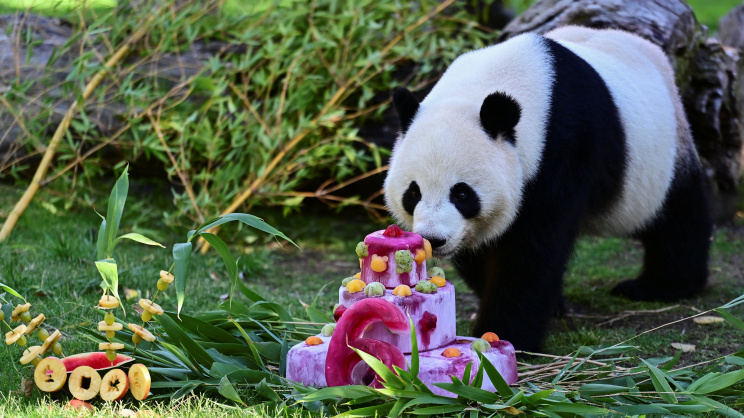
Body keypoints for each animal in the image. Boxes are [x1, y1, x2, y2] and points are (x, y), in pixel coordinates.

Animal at [384, 26, 713, 352]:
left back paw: (662, 285)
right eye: (413, 193)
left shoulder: (563, 150)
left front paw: (508, 333)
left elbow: (534, 250)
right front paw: (548, 305)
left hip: (662, 154)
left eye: (462, 193)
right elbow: (485, 249)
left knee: (678, 214)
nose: (433, 239)